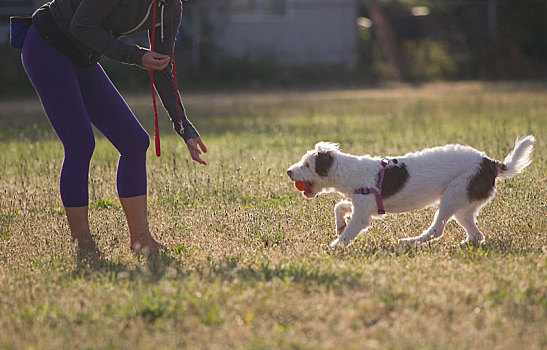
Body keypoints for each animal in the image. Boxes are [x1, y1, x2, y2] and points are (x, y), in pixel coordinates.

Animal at [286, 137, 536, 249]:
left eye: (307, 165)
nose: (289, 172)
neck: (352, 172)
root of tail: (490, 163)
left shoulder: (363, 214)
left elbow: (349, 232)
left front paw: (335, 245)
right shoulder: (364, 204)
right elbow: (339, 206)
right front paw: (339, 225)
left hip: (454, 195)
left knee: (436, 230)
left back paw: (410, 241)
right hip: (464, 204)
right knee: (476, 235)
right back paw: (462, 245)